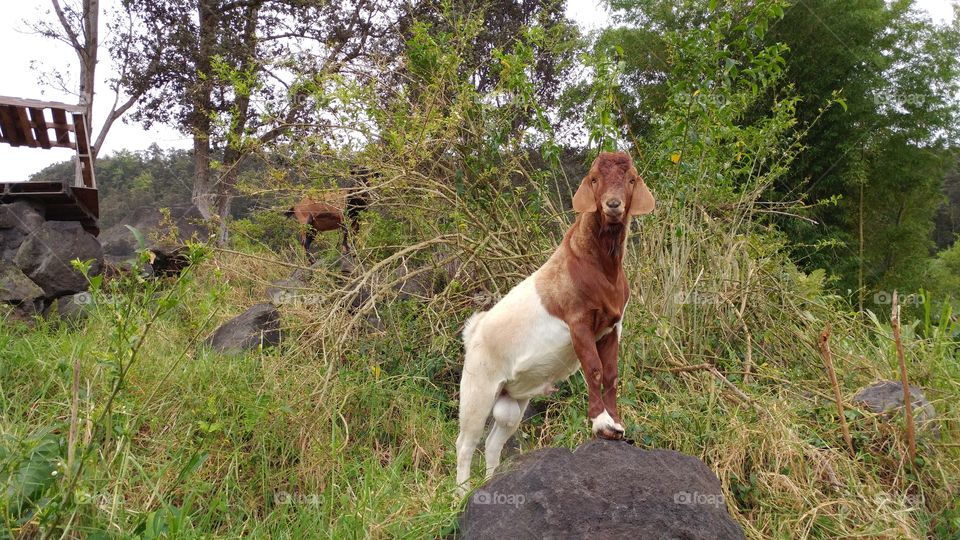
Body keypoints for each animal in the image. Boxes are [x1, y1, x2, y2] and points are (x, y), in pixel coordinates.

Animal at [455, 152, 655, 494]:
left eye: (631, 179)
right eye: (594, 179)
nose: (613, 205)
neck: (597, 266)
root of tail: (475, 330)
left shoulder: (612, 327)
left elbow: (612, 374)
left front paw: (616, 425)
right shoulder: (579, 322)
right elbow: (594, 369)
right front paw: (601, 424)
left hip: (513, 398)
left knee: (494, 442)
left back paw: (492, 482)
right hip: (477, 386)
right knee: (466, 442)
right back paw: (461, 494)